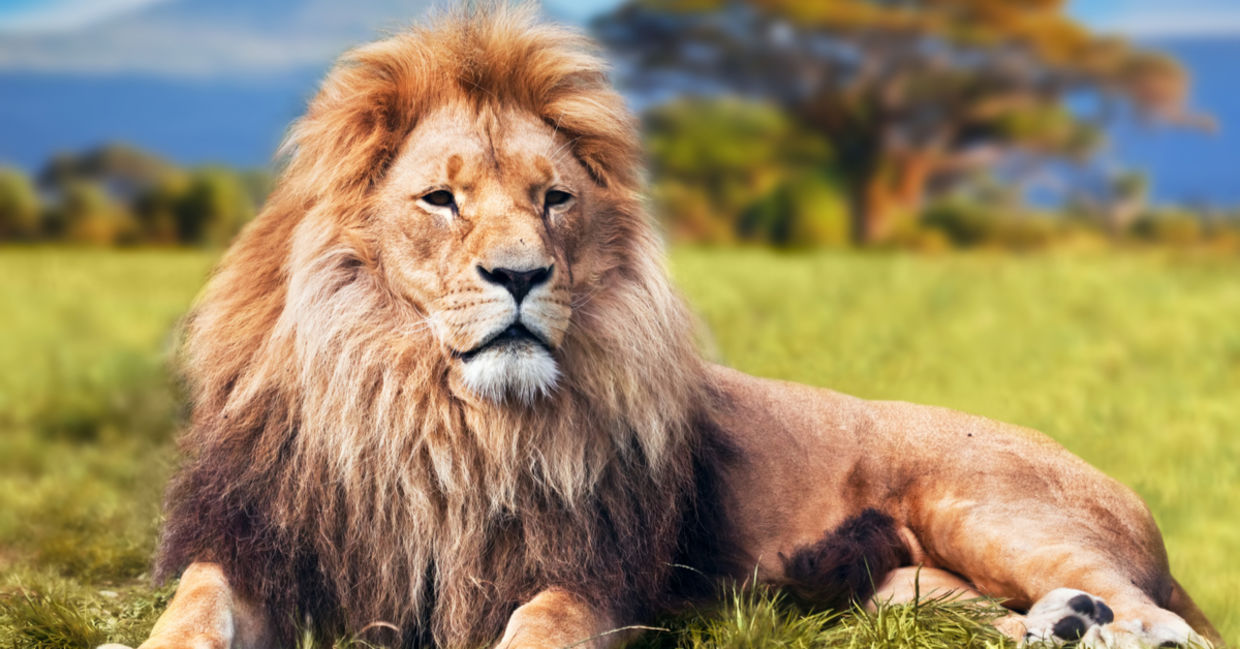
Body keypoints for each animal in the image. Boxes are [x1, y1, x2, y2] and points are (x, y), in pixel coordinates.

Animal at [114, 7, 1223, 649]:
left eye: (554, 199)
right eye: (440, 199)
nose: (521, 275)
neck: (434, 415)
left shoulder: (590, 573)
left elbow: (540, 625)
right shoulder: (253, 546)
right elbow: (190, 613)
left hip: (988, 506)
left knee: (1165, 615)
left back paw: (1113, 626)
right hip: (898, 590)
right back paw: (1061, 627)